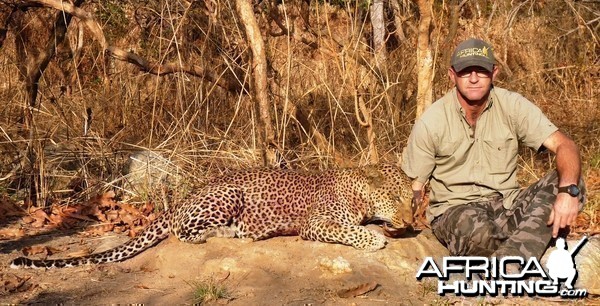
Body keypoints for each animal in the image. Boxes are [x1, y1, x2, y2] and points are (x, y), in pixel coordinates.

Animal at [10, 163, 412, 268]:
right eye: (396, 198)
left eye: (413, 199)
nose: (410, 221)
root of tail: (180, 200)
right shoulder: (314, 224)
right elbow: (351, 231)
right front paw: (375, 238)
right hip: (227, 196)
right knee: (183, 233)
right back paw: (229, 233)